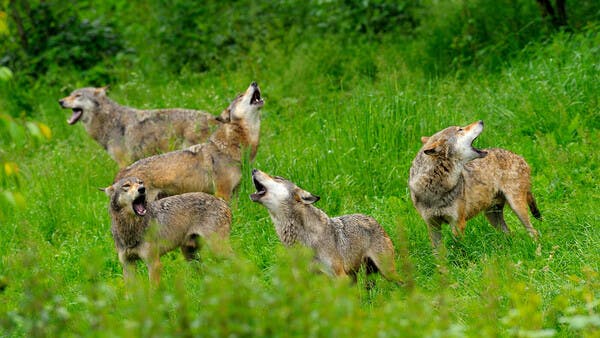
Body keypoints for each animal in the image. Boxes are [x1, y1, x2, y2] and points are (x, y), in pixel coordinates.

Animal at [58, 86, 218, 168]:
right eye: (69, 95)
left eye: (78, 96)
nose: (60, 101)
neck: (110, 120)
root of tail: (212, 118)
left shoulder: (123, 162)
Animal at [248, 169, 404, 286]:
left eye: (277, 178)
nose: (253, 169)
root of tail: (373, 219)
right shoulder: (303, 279)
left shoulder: (339, 277)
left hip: (386, 271)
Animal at [410, 120, 540, 247]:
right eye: (460, 129)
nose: (481, 121)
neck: (434, 186)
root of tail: (519, 156)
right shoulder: (432, 226)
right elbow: (438, 252)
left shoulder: (458, 223)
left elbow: (460, 250)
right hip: (492, 216)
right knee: (510, 234)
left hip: (516, 207)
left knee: (534, 232)